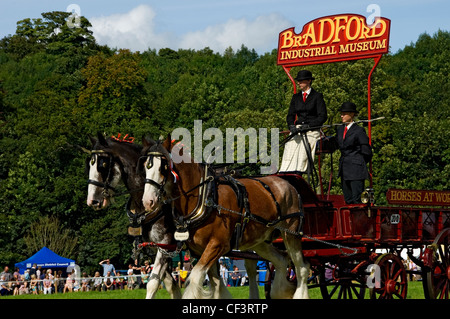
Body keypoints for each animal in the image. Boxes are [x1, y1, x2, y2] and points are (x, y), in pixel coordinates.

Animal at [85, 133, 180, 300]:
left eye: (103, 164)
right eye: (90, 164)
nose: (92, 201)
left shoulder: (166, 243)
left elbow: (153, 283)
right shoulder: (158, 248)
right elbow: (170, 285)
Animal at [141, 136, 310, 300]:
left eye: (163, 167)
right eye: (145, 167)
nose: (148, 201)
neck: (205, 197)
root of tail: (287, 184)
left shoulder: (218, 244)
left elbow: (196, 278)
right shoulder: (199, 250)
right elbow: (216, 284)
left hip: (291, 234)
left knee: (301, 268)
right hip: (259, 241)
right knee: (281, 260)